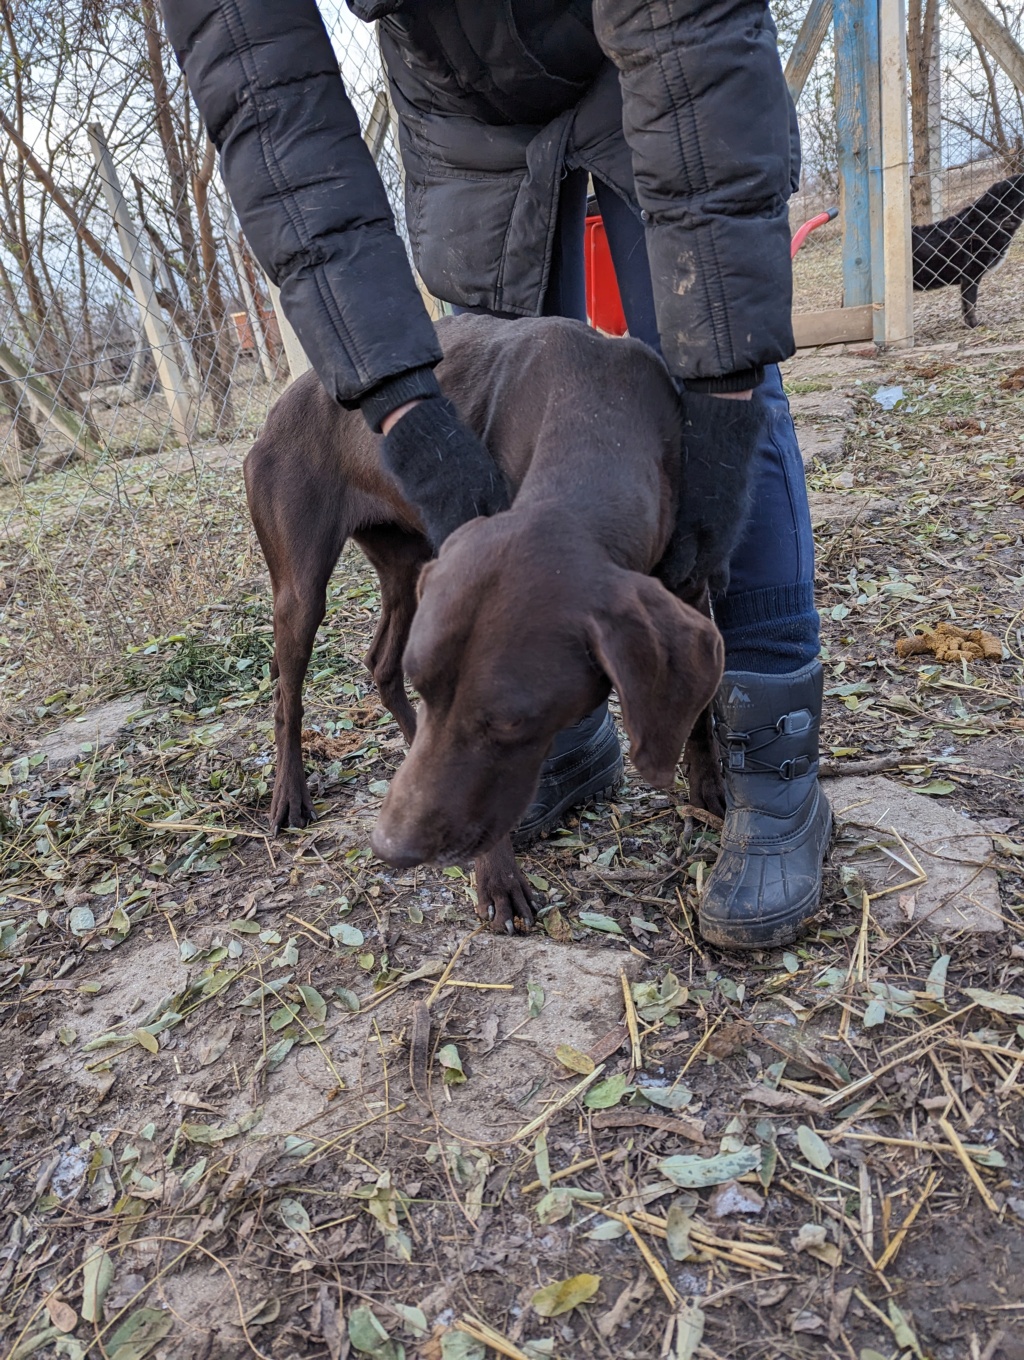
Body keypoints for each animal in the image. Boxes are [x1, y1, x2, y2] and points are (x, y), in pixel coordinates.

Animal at [243, 315, 723, 935]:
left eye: (511, 722)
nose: (390, 848)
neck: (596, 421)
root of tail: (278, 406)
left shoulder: (690, 583)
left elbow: (702, 712)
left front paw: (712, 789)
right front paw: (496, 879)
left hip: (409, 566)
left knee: (380, 663)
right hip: (301, 593)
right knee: (288, 694)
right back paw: (289, 795)